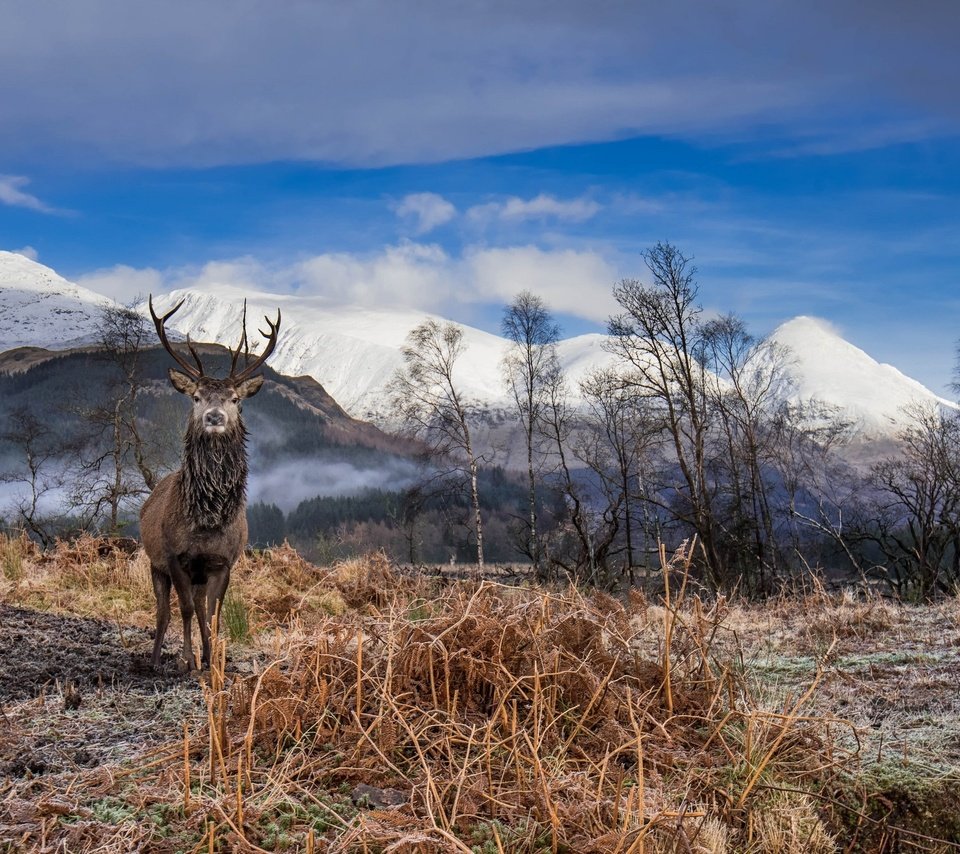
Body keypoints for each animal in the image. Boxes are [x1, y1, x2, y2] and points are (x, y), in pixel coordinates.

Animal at [139, 298, 282, 672]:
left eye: (235, 399)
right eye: (196, 397)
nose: (214, 417)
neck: (207, 521)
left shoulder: (223, 561)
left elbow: (214, 614)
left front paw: (213, 659)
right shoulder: (174, 557)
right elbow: (186, 610)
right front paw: (189, 660)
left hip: (200, 574)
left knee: (201, 607)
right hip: (155, 563)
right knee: (164, 612)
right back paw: (156, 659)